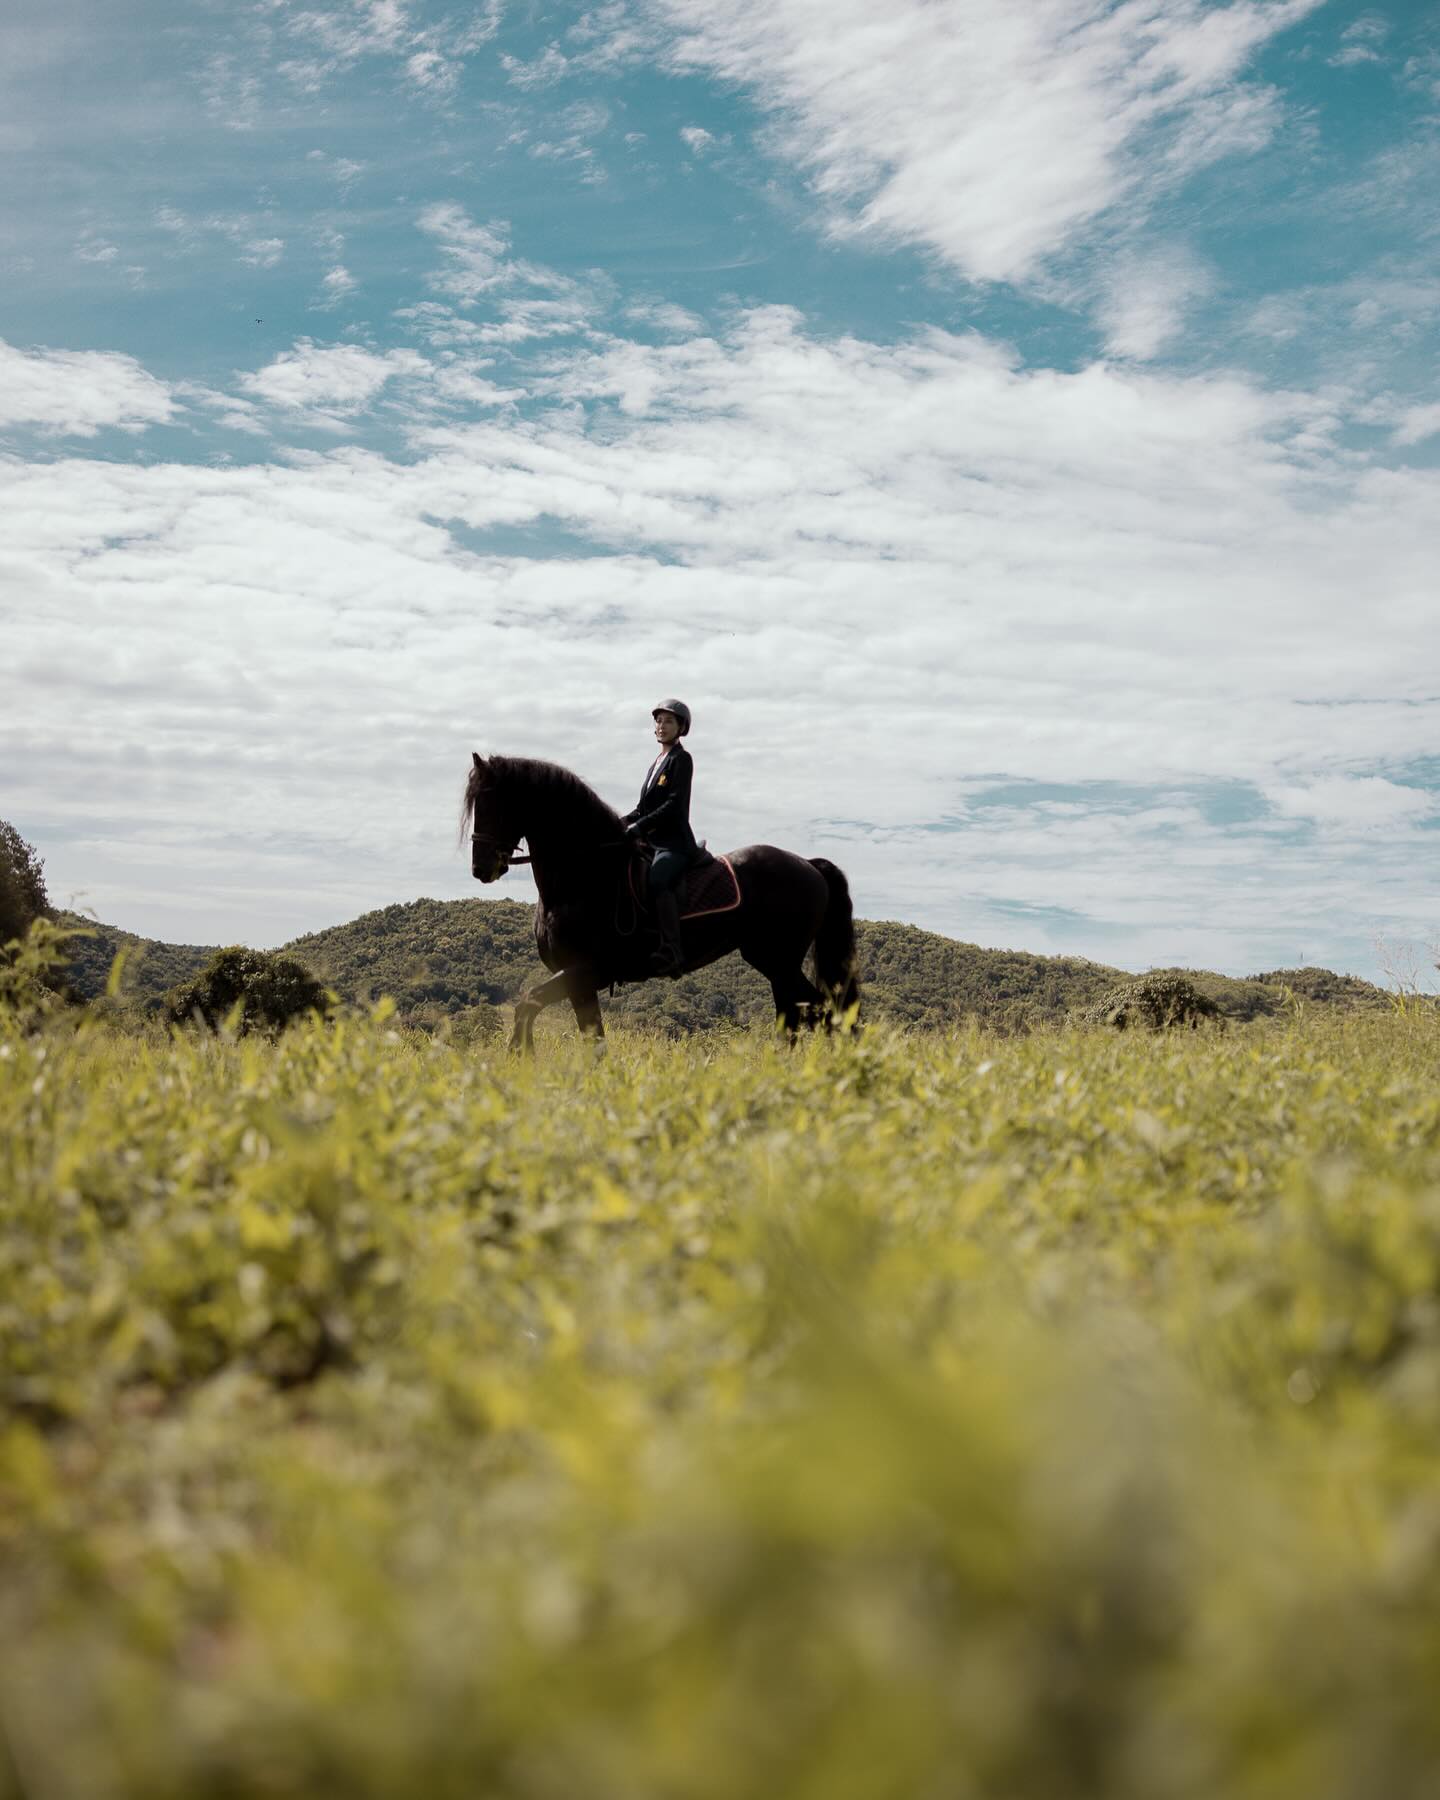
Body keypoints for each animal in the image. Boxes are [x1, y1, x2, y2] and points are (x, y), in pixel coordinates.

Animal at [468, 748, 860, 1051]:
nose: (480, 868)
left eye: (493, 803)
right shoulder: (581, 982)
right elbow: (592, 1042)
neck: (588, 873)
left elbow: (528, 1003)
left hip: (778, 959)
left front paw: (522, 1057)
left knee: (828, 1015)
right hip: (777, 964)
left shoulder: (584, 970)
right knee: (802, 1018)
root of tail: (808, 864)